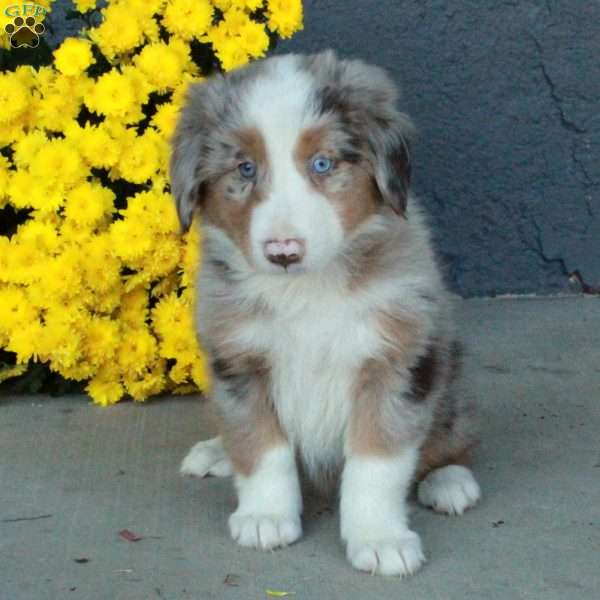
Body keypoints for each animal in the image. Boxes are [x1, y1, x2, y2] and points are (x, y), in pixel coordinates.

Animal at [171, 50, 480, 576]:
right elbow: (260, 444)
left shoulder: (395, 359)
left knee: (450, 434)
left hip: (447, 367)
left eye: (322, 163)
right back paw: (216, 453)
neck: (306, 292)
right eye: (245, 168)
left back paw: (449, 479)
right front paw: (265, 516)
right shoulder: (239, 361)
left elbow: (376, 462)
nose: (283, 252)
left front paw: (380, 539)